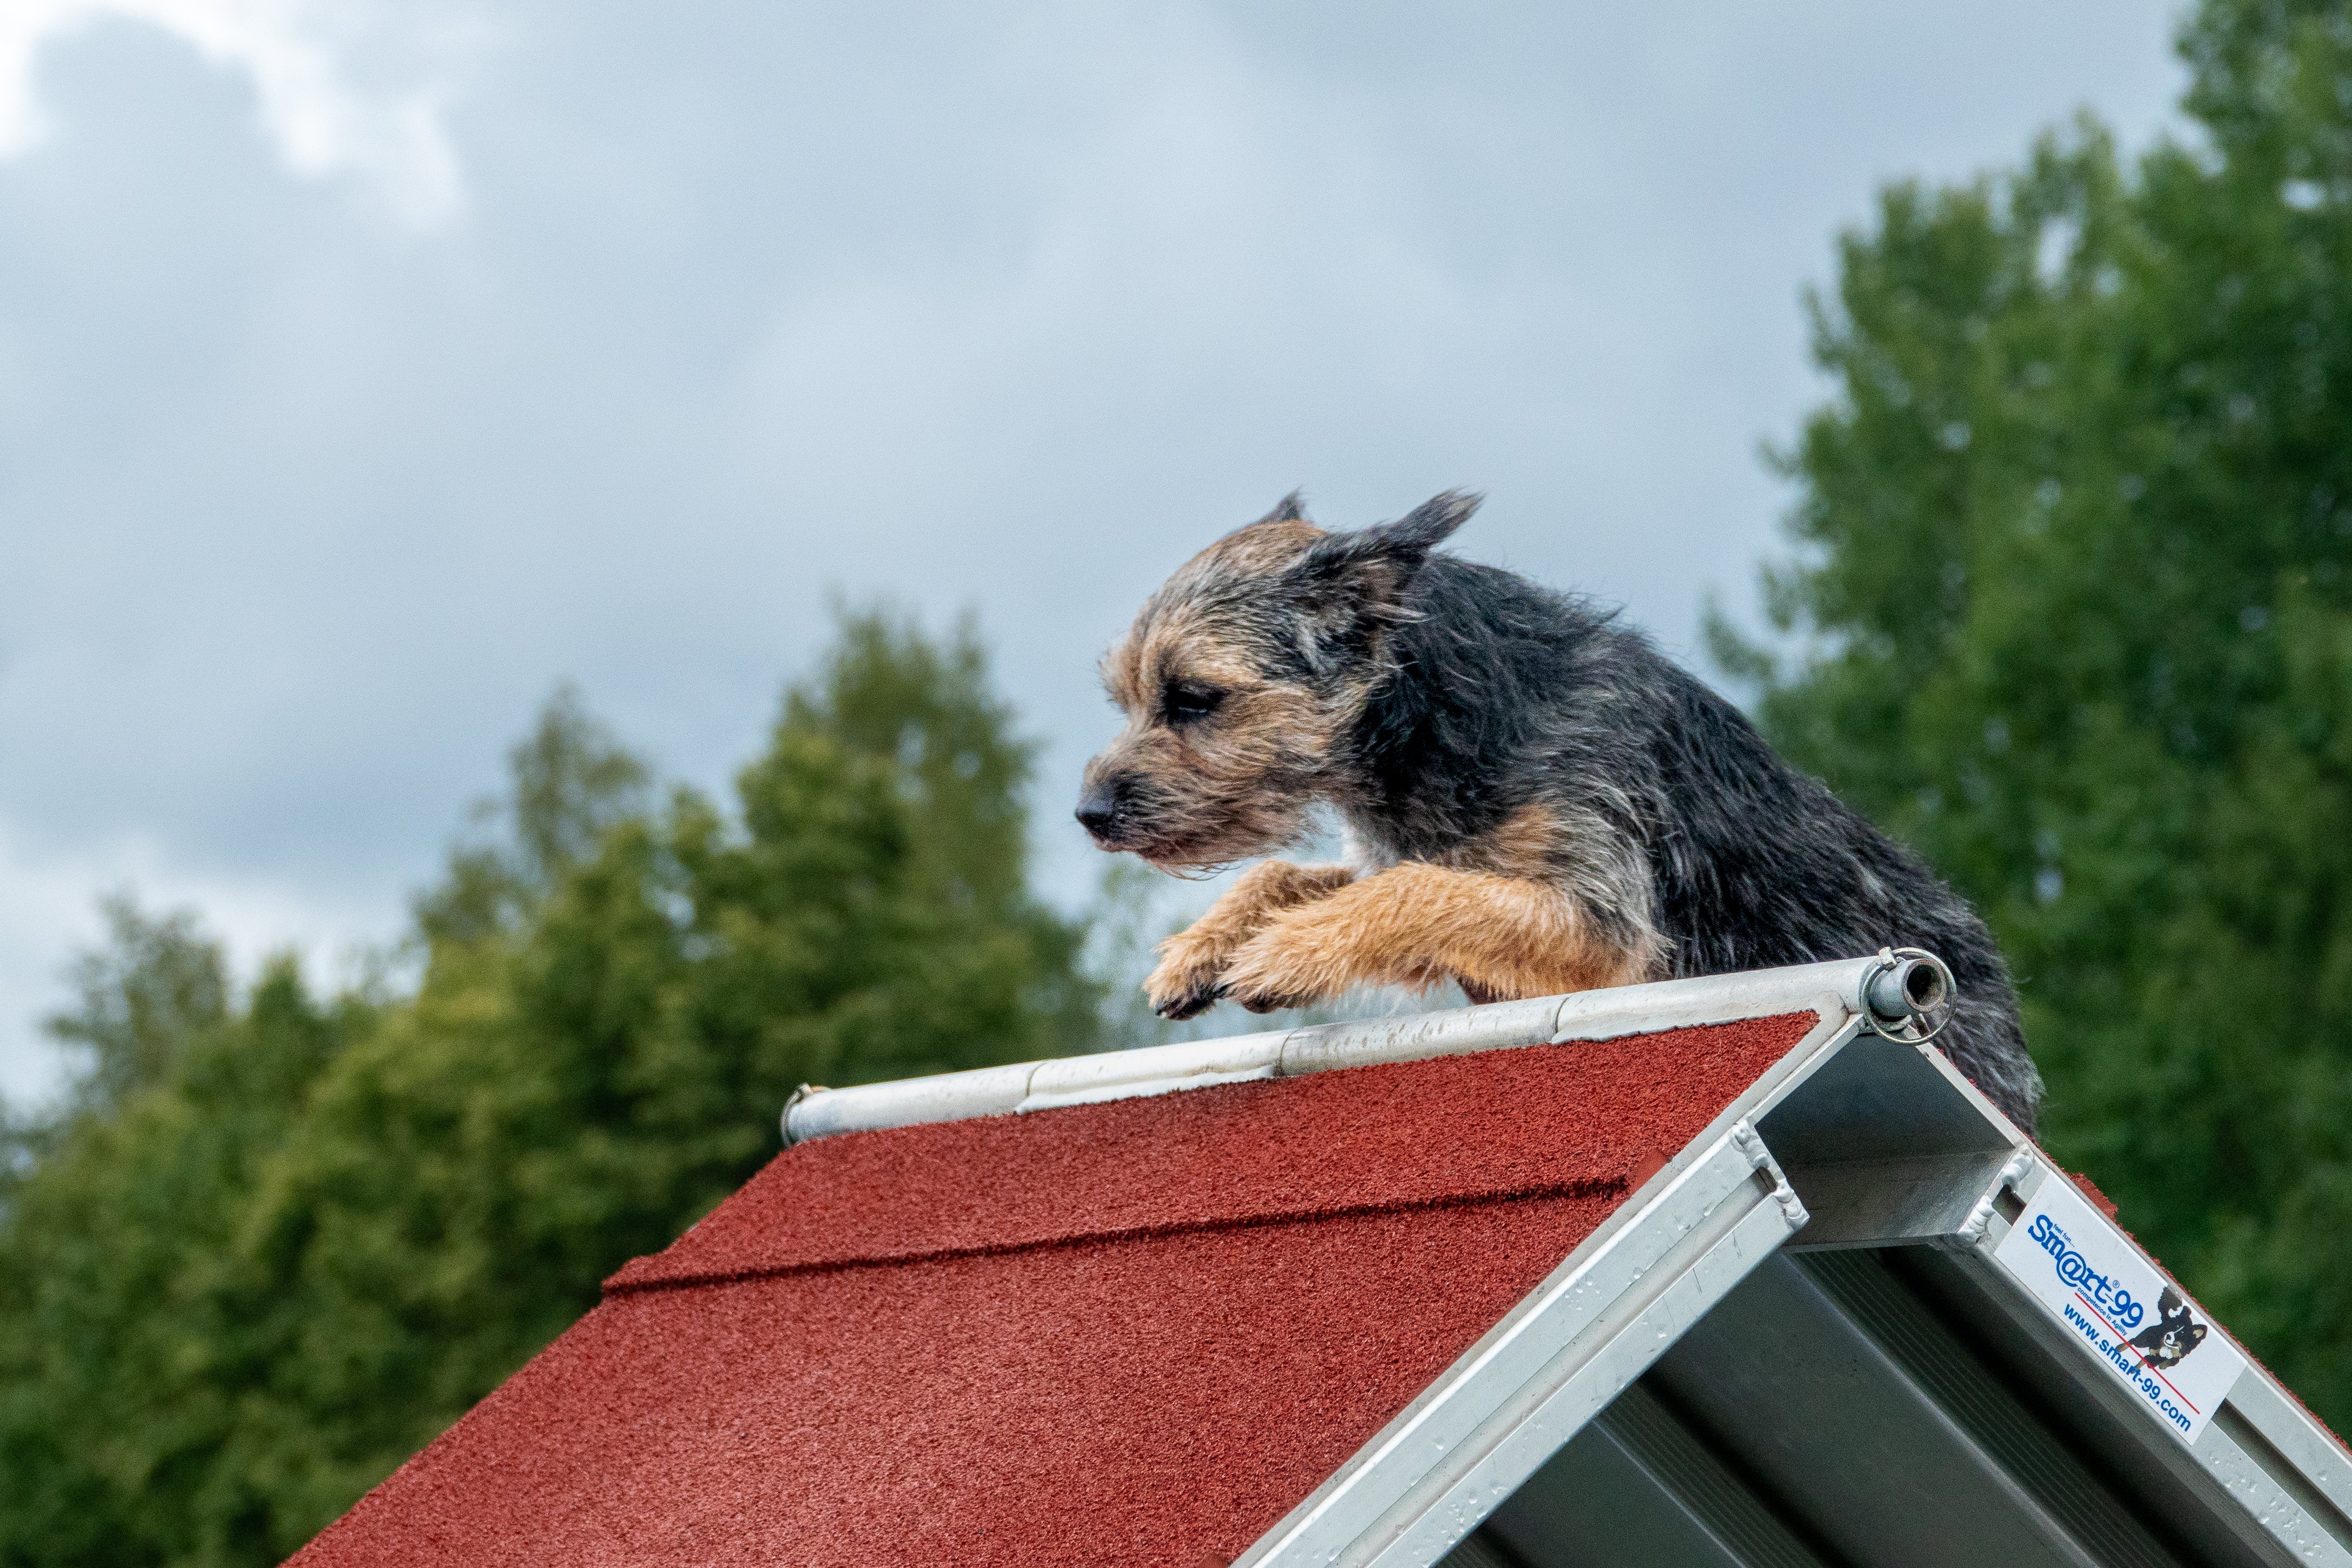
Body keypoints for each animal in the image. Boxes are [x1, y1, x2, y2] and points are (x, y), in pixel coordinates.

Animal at [1077, 486, 2041, 1128]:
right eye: (1125, 697)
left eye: (1194, 698)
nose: (1088, 811)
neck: (1439, 720)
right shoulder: (1417, 863)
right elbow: (1308, 874)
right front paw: (1205, 945)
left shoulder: (1601, 923)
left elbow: (1415, 891)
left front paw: (1286, 951)